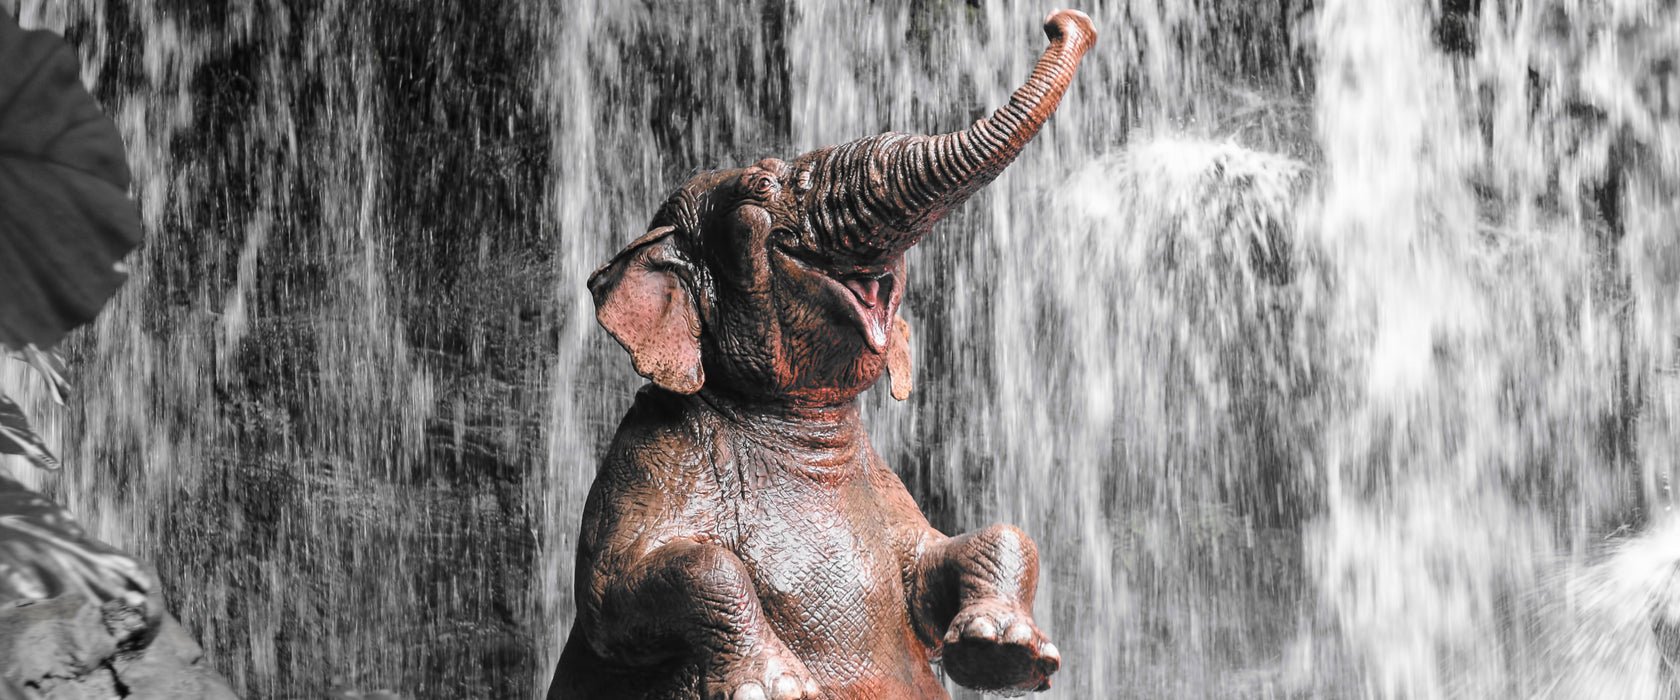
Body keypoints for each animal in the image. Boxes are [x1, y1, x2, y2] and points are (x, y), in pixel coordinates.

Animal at [551, 12, 1095, 698]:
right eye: (760, 187)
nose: (1066, 23)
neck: (797, 422)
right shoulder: (648, 458)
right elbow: (616, 594)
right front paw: (777, 688)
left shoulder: (889, 499)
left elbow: (942, 559)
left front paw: (1004, 652)